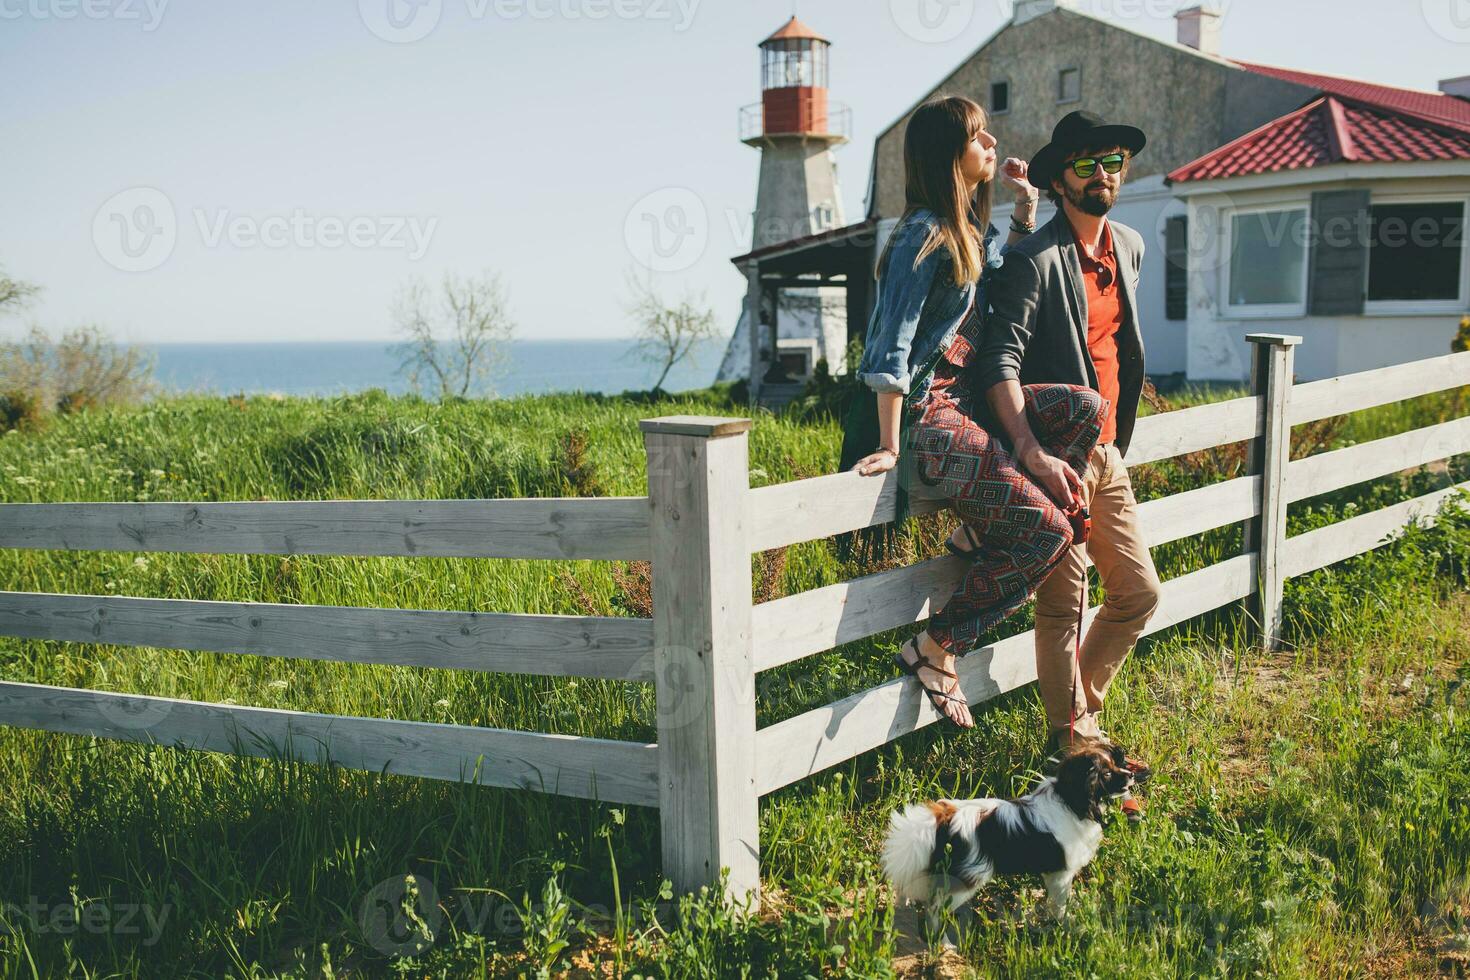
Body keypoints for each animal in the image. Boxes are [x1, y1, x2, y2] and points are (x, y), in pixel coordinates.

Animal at [882, 746, 1134, 934]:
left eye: (1115, 765)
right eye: (1107, 774)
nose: (1131, 775)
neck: (1070, 800)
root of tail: (942, 818)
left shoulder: (1053, 874)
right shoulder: (1062, 874)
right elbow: (1061, 902)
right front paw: (1066, 921)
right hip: (966, 881)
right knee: (935, 909)